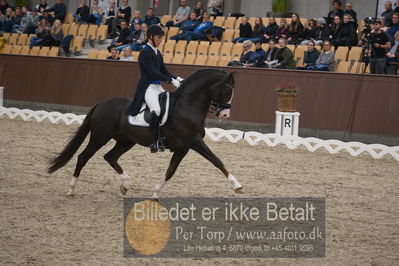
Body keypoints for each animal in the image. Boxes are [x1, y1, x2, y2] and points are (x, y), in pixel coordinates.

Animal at [48, 69, 244, 198]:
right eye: (227, 90)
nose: (225, 115)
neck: (188, 105)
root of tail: (101, 104)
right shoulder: (195, 142)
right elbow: (217, 161)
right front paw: (237, 186)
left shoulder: (184, 148)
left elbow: (170, 171)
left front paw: (155, 193)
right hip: (100, 137)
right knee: (83, 157)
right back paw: (71, 189)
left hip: (126, 141)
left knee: (110, 157)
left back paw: (125, 185)